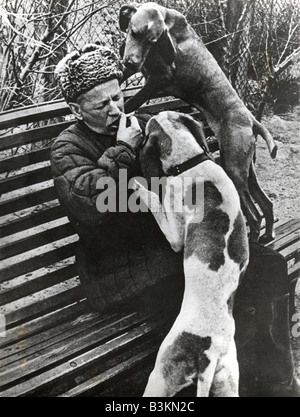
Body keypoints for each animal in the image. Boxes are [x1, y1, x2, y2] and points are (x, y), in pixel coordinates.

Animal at [118, 1, 278, 244]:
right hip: (245, 167)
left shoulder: (159, 78)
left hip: (233, 167)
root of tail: (252, 119)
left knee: (253, 214)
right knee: (266, 204)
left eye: (152, 41)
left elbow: (131, 102)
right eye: (134, 33)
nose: (132, 62)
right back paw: (267, 235)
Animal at [132, 111, 250, 396]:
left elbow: (154, 200)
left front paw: (138, 185)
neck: (189, 161)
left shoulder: (174, 234)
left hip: (159, 378)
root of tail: (210, 352)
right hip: (227, 381)